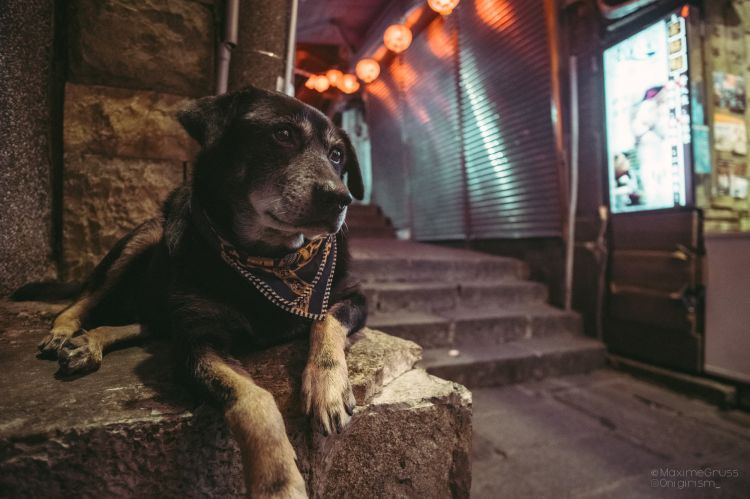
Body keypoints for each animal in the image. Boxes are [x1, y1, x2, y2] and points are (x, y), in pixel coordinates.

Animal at [36, 87, 370, 499]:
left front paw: (328, 387)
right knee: (84, 301)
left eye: (337, 154)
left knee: (147, 323)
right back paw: (64, 333)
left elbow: (326, 320)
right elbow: (253, 397)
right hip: (146, 235)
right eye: (283, 134)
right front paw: (278, 482)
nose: (340, 198)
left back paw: (88, 343)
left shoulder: (352, 295)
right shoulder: (196, 340)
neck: (273, 260)